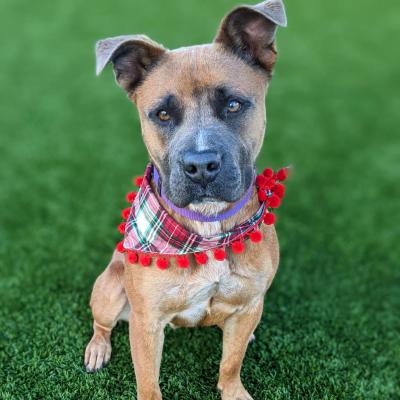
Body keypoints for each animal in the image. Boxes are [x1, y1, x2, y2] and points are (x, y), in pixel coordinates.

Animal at [83, 1, 288, 398]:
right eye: (162, 114)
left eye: (234, 105)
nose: (201, 165)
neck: (207, 228)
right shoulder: (146, 323)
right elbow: (148, 383)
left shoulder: (250, 302)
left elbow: (231, 363)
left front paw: (233, 389)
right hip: (110, 288)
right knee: (102, 324)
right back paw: (98, 348)